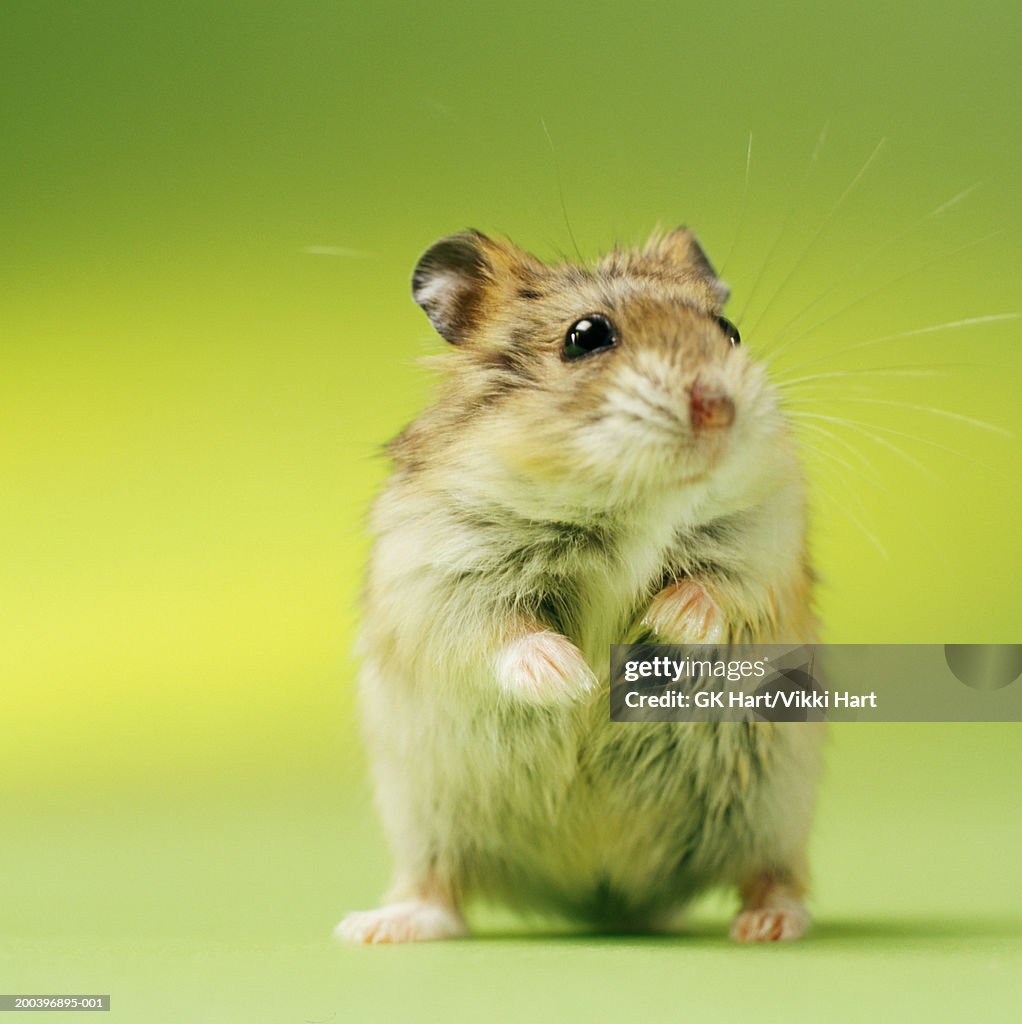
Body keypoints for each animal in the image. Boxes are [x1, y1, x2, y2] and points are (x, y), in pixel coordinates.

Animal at [337, 227, 823, 944]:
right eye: (587, 336)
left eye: (729, 331)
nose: (719, 409)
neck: (630, 504)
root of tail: (606, 894)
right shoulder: (442, 572)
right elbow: (500, 632)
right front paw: (575, 680)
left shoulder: (765, 538)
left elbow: (717, 587)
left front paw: (662, 622)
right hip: (425, 813)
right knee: (437, 886)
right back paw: (376, 929)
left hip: (773, 807)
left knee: (771, 873)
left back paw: (768, 925)